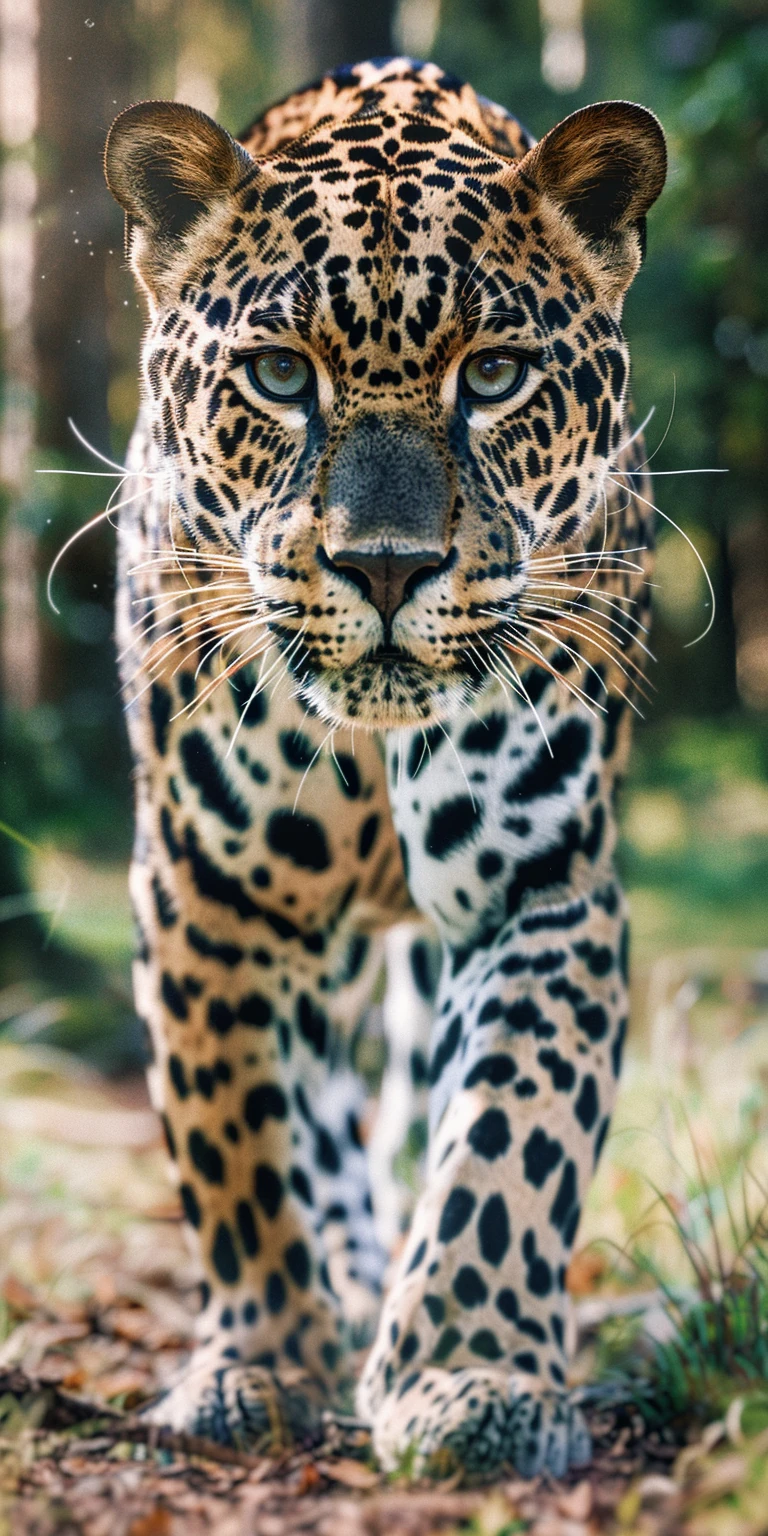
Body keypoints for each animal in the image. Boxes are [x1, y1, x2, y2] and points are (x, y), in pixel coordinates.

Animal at [103, 55, 665, 1478]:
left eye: (498, 374)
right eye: (278, 376)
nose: (388, 569)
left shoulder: (543, 884)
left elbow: (511, 1133)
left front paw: (474, 1376)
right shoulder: (208, 891)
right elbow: (242, 1137)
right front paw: (266, 1366)